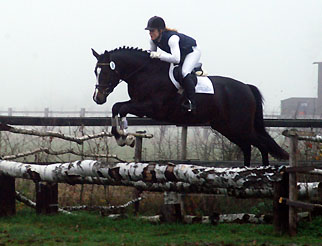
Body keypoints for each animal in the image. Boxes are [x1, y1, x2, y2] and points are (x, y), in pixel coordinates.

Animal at [91, 47, 290, 166]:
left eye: (106, 72)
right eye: (95, 71)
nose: (97, 98)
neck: (146, 72)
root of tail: (247, 88)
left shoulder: (149, 107)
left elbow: (121, 108)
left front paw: (126, 137)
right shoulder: (139, 104)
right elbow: (116, 108)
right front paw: (120, 136)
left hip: (239, 127)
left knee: (261, 144)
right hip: (228, 128)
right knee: (248, 147)